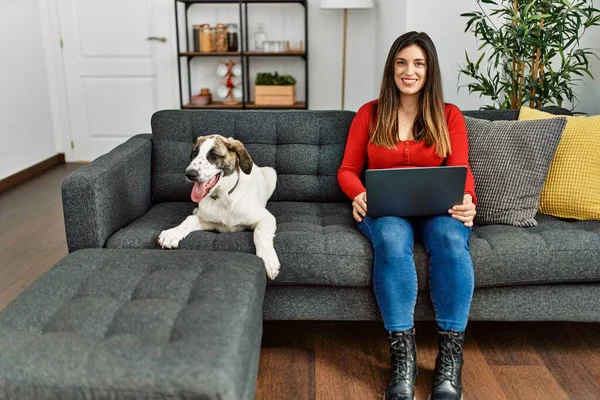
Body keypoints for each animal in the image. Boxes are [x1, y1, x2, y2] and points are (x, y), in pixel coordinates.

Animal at [159, 134, 282, 278]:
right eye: (194, 153)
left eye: (213, 155)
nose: (189, 174)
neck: (224, 198)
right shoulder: (208, 222)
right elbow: (189, 220)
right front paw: (172, 233)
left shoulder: (266, 218)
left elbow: (260, 233)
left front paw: (268, 259)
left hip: (271, 173)